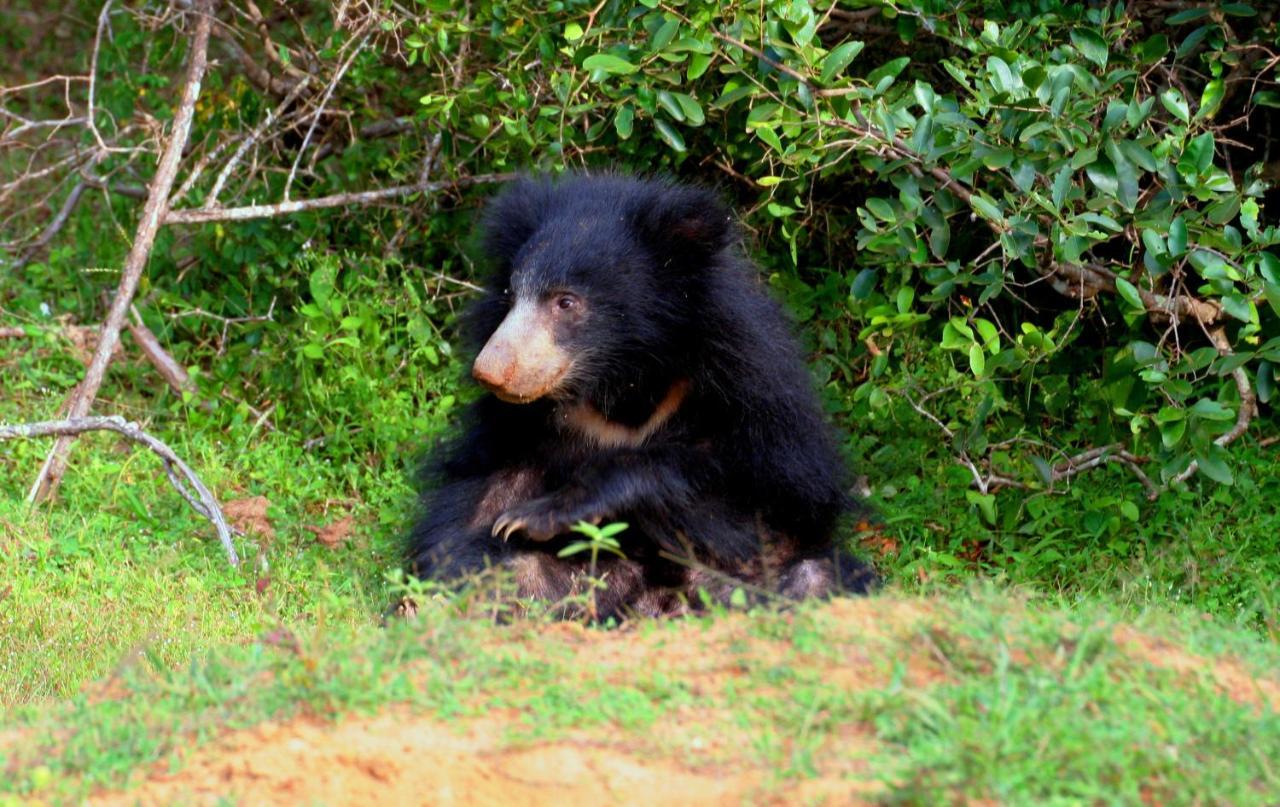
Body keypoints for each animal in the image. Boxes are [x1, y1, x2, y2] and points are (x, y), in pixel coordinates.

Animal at [412, 174, 880, 619]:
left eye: (566, 302)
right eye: (511, 295)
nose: (490, 371)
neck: (625, 376)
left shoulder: (755, 384)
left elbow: (781, 499)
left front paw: (541, 513)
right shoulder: (510, 427)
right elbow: (469, 516)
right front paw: (506, 527)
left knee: (813, 577)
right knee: (515, 572)